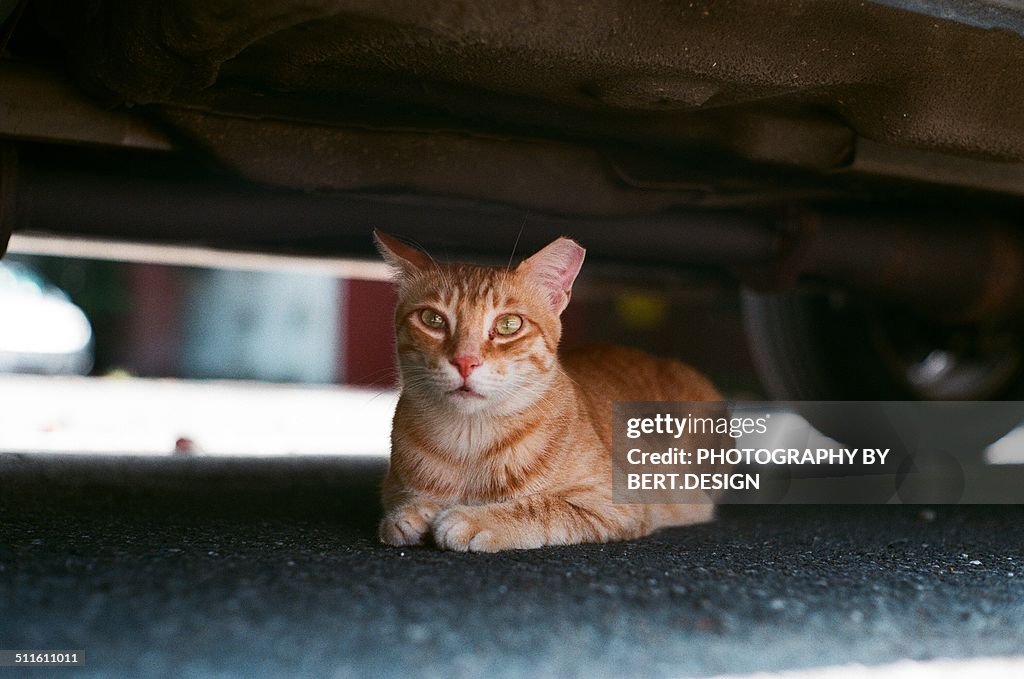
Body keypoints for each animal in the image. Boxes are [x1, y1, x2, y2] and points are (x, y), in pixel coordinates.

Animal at [380, 229, 724, 553]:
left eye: (508, 324)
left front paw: (475, 519)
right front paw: (413, 512)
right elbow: (399, 510)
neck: (469, 442)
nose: (465, 361)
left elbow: (542, 507)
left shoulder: (615, 503)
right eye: (432, 319)